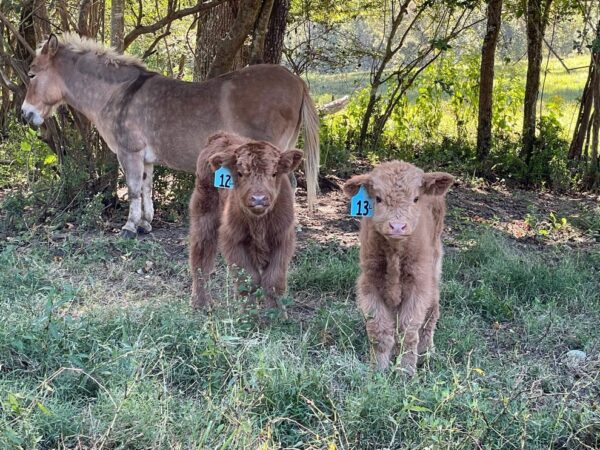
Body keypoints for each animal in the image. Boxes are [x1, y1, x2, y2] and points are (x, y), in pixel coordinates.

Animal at [189, 132, 302, 314]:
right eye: (240, 173)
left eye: (274, 173)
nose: (259, 199)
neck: (259, 223)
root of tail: (220, 136)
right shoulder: (232, 240)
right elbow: (248, 280)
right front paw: (248, 314)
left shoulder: (283, 239)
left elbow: (273, 280)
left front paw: (277, 314)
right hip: (204, 213)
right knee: (201, 256)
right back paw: (201, 303)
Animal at [342, 160, 454, 374]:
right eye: (377, 198)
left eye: (416, 198)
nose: (397, 226)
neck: (394, 254)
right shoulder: (370, 284)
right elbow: (379, 332)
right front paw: (378, 370)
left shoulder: (418, 286)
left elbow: (408, 332)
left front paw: (406, 371)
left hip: (434, 267)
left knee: (432, 313)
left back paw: (426, 353)